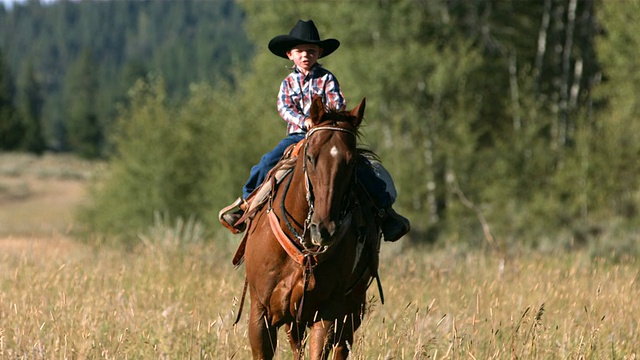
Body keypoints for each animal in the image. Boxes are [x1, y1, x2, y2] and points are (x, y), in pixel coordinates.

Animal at [238, 97, 382, 358]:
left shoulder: (326, 313)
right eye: (311, 157)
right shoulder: (260, 313)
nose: (324, 229)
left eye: (351, 161)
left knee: (341, 346)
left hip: (352, 308)